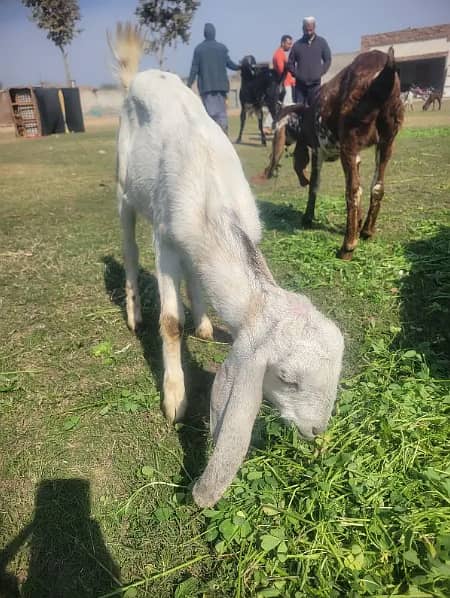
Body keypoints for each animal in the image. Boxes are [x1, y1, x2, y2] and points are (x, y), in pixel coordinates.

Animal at [109, 24, 344, 510]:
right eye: (286, 379)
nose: (317, 431)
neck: (212, 200)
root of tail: (139, 77)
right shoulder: (165, 239)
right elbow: (169, 322)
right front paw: (175, 397)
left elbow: (197, 282)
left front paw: (202, 323)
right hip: (124, 191)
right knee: (129, 252)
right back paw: (134, 312)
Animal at [264, 48, 404, 260]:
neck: (306, 115)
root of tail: (383, 70)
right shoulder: (358, 155)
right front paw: (359, 221)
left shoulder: (318, 151)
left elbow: (314, 185)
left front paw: (307, 218)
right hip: (387, 141)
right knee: (377, 187)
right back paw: (366, 231)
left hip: (349, 141)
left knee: (353, 191)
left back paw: (347, 247)